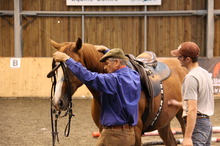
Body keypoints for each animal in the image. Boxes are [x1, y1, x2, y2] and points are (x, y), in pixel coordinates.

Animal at [50, 38, 187, 146]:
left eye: (69, 68)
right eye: (55, 70)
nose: (58, 102)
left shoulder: (136, 132)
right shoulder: (102, 129)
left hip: (183, 118)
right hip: (164, 121)